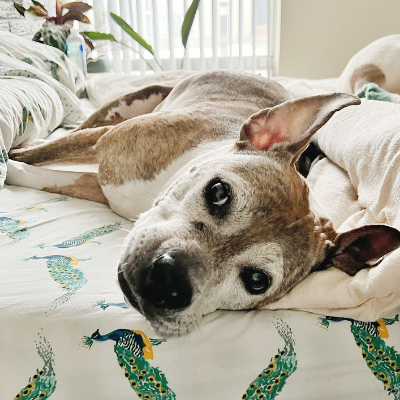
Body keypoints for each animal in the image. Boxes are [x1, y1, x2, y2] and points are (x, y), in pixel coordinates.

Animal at [7, 69, 400, 338]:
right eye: (218, 192)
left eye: (257, 280)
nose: (169, 282)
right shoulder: (104, 143)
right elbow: (41, 155)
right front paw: (9, 161)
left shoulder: (100, 186)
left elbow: (49, 177)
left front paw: (16, 172)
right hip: (125, 106)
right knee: (72, 130)